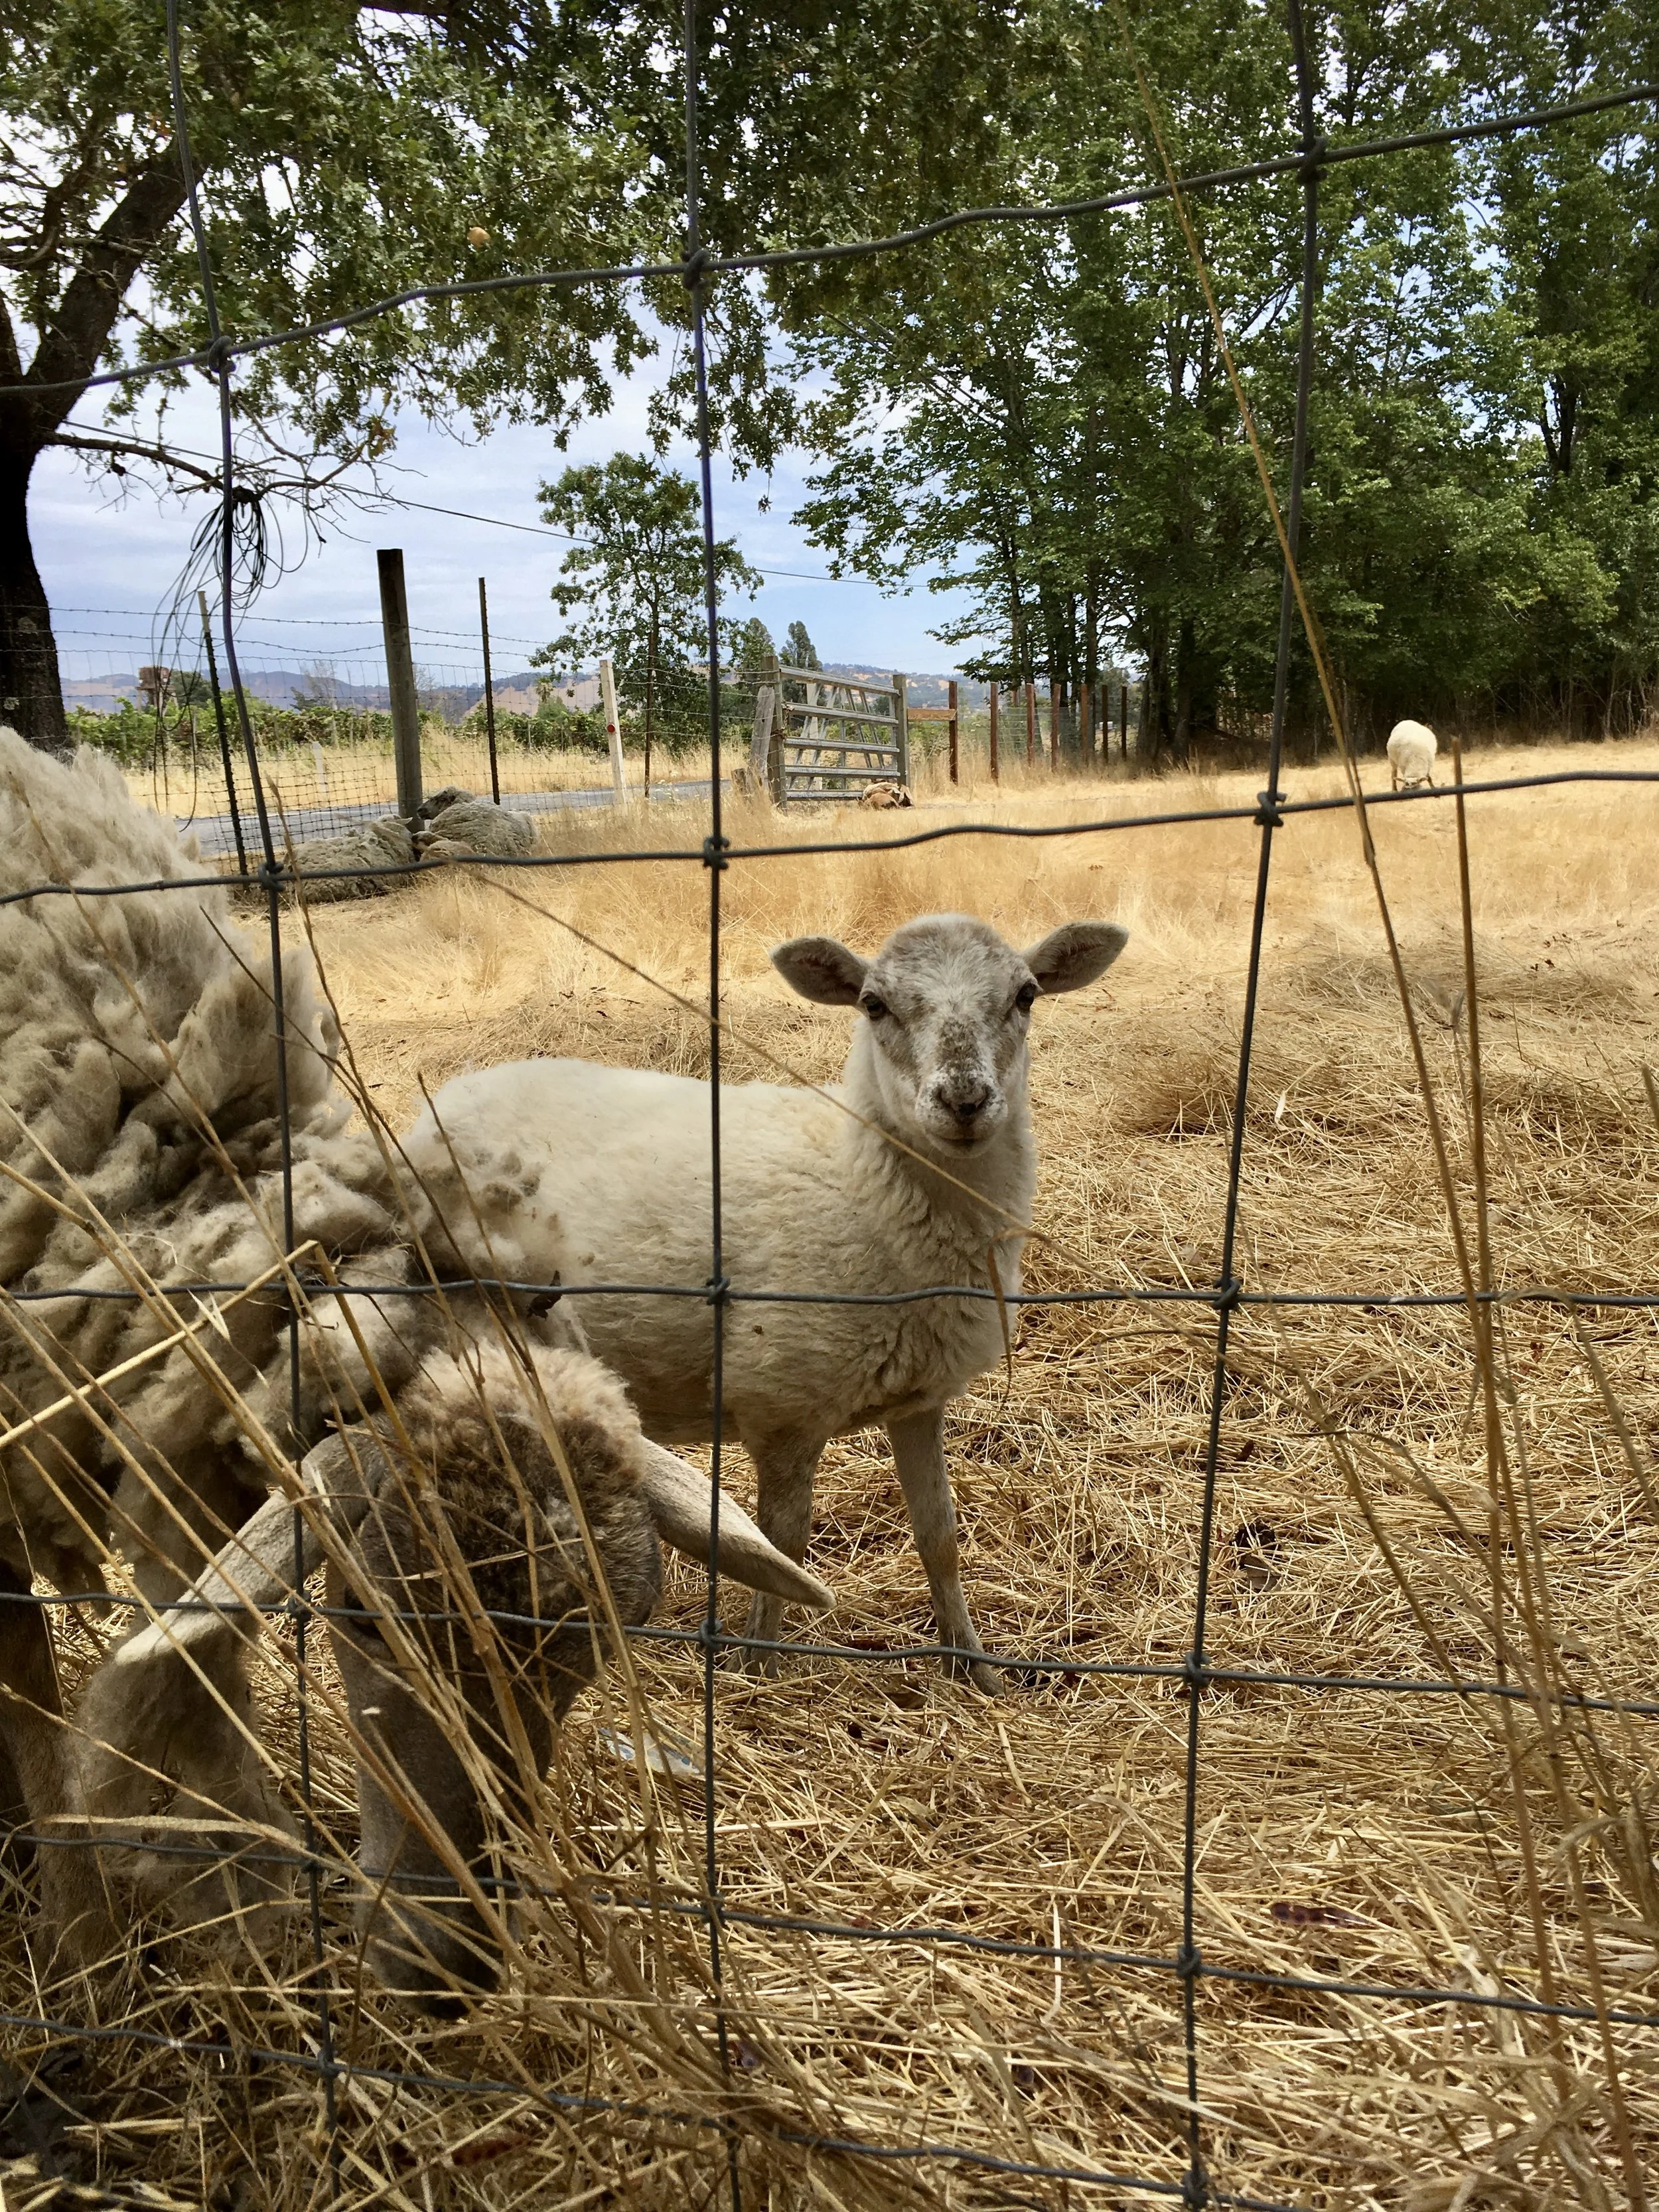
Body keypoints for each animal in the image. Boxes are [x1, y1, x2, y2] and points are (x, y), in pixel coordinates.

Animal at [404, 911, 1129, 1695]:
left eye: (1026, 995)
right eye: (873, 1005)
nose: (963, 1101)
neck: (859, 1179)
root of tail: (450, 1092)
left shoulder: (918, 1397)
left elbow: (939, 1535)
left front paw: (975, 1668)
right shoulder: (782, 1405)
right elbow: (783, 1541)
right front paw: (761, 1669)